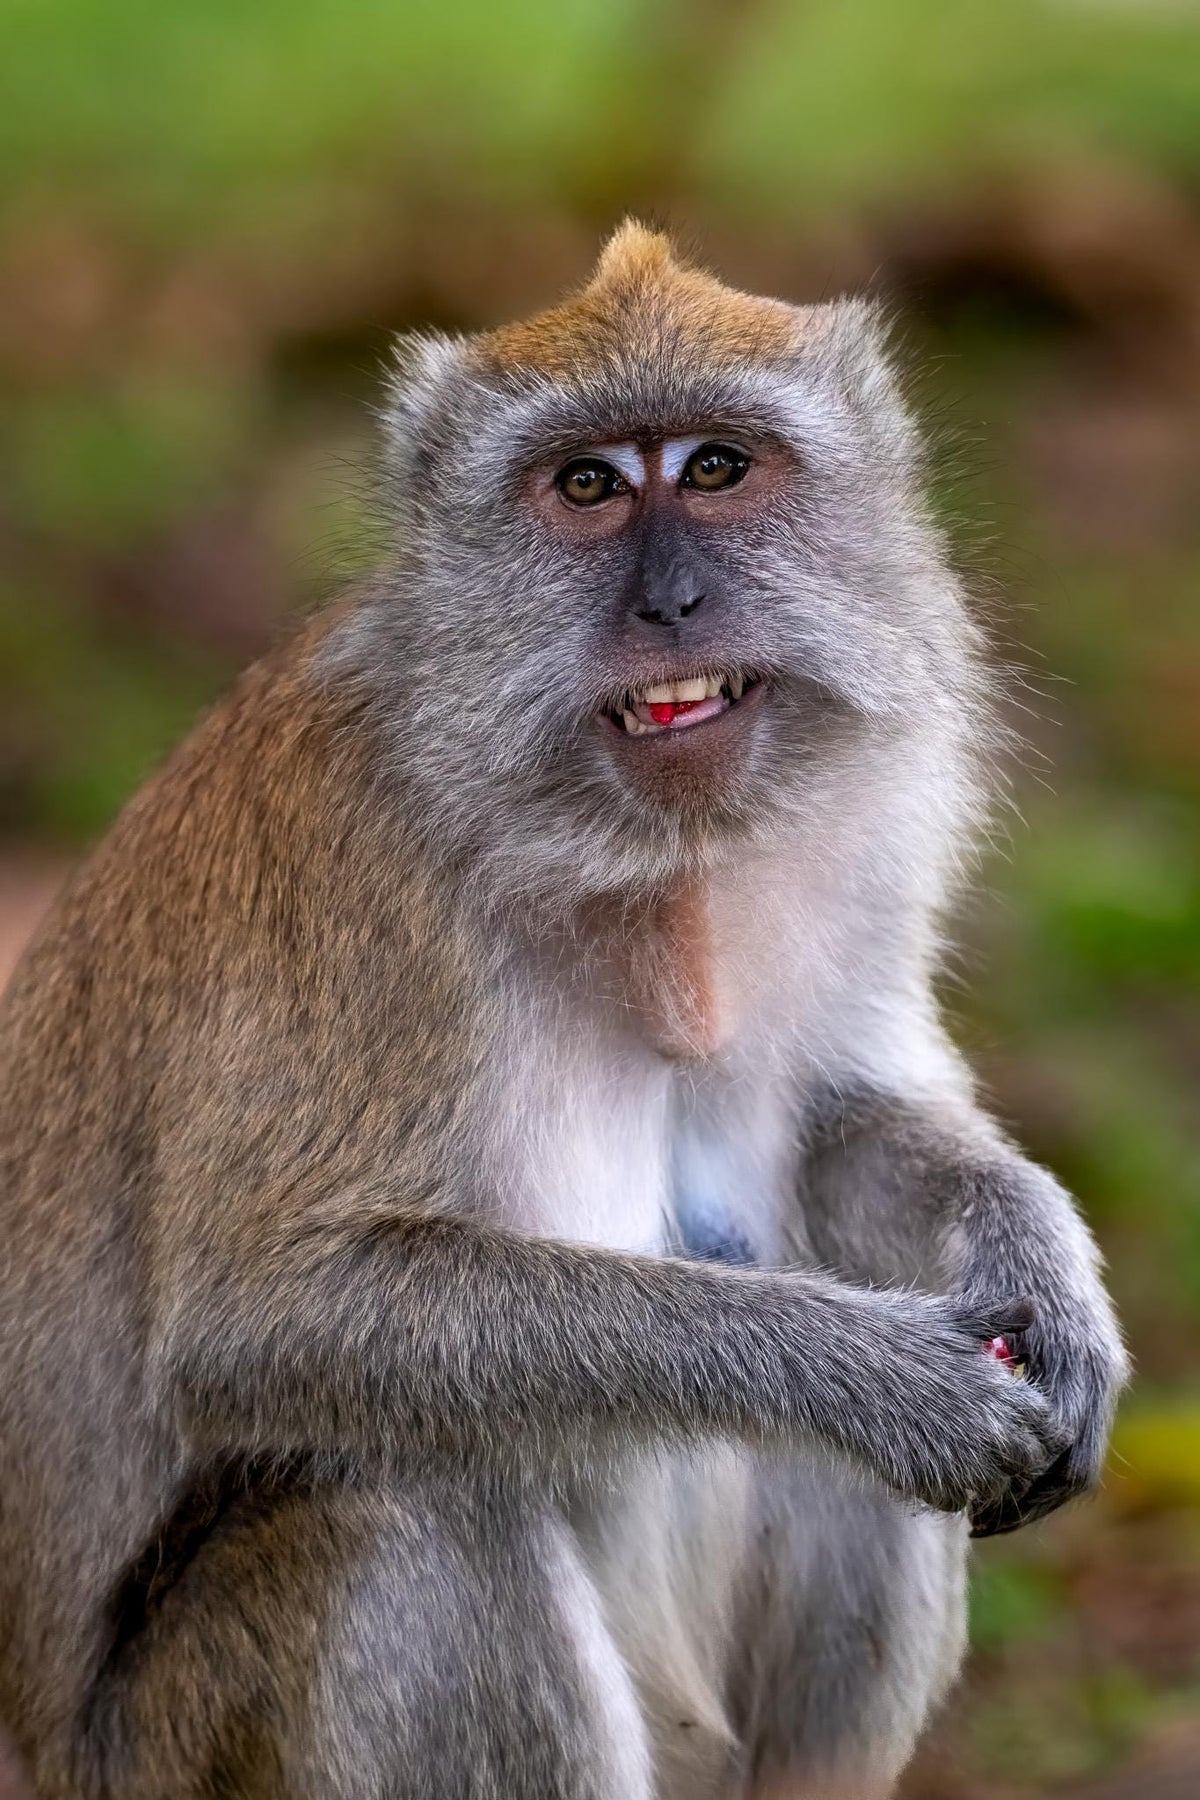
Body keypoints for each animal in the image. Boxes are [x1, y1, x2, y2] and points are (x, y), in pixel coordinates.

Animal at [0, 222, 1127, 1800]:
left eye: (715, 468)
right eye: (587, 486)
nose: (670, 606)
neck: (631, 862)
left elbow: (845, 1127)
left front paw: (1044, 1265)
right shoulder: (363, 876)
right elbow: (264, 1318)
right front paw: (871, 1375)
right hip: (163, 1756)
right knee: (408, 1507)